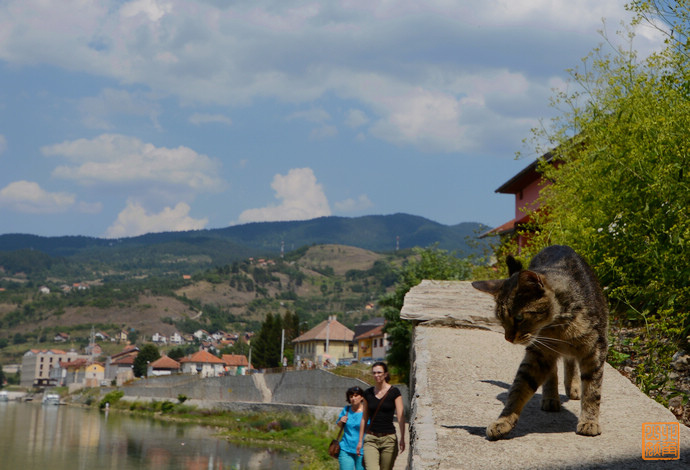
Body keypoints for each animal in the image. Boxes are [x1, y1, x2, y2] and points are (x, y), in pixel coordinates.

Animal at [470, 244, 604, 438]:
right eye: (501, 320)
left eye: (519, 318)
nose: (508, 338)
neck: (560, 325)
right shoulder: (539, 354)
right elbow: (520, 387)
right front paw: (503, 420)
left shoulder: (595, 350)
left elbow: (593, 390)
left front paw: (589, 420)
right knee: (553, 371)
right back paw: (551, 397)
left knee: (570, 362)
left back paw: (573, 387)